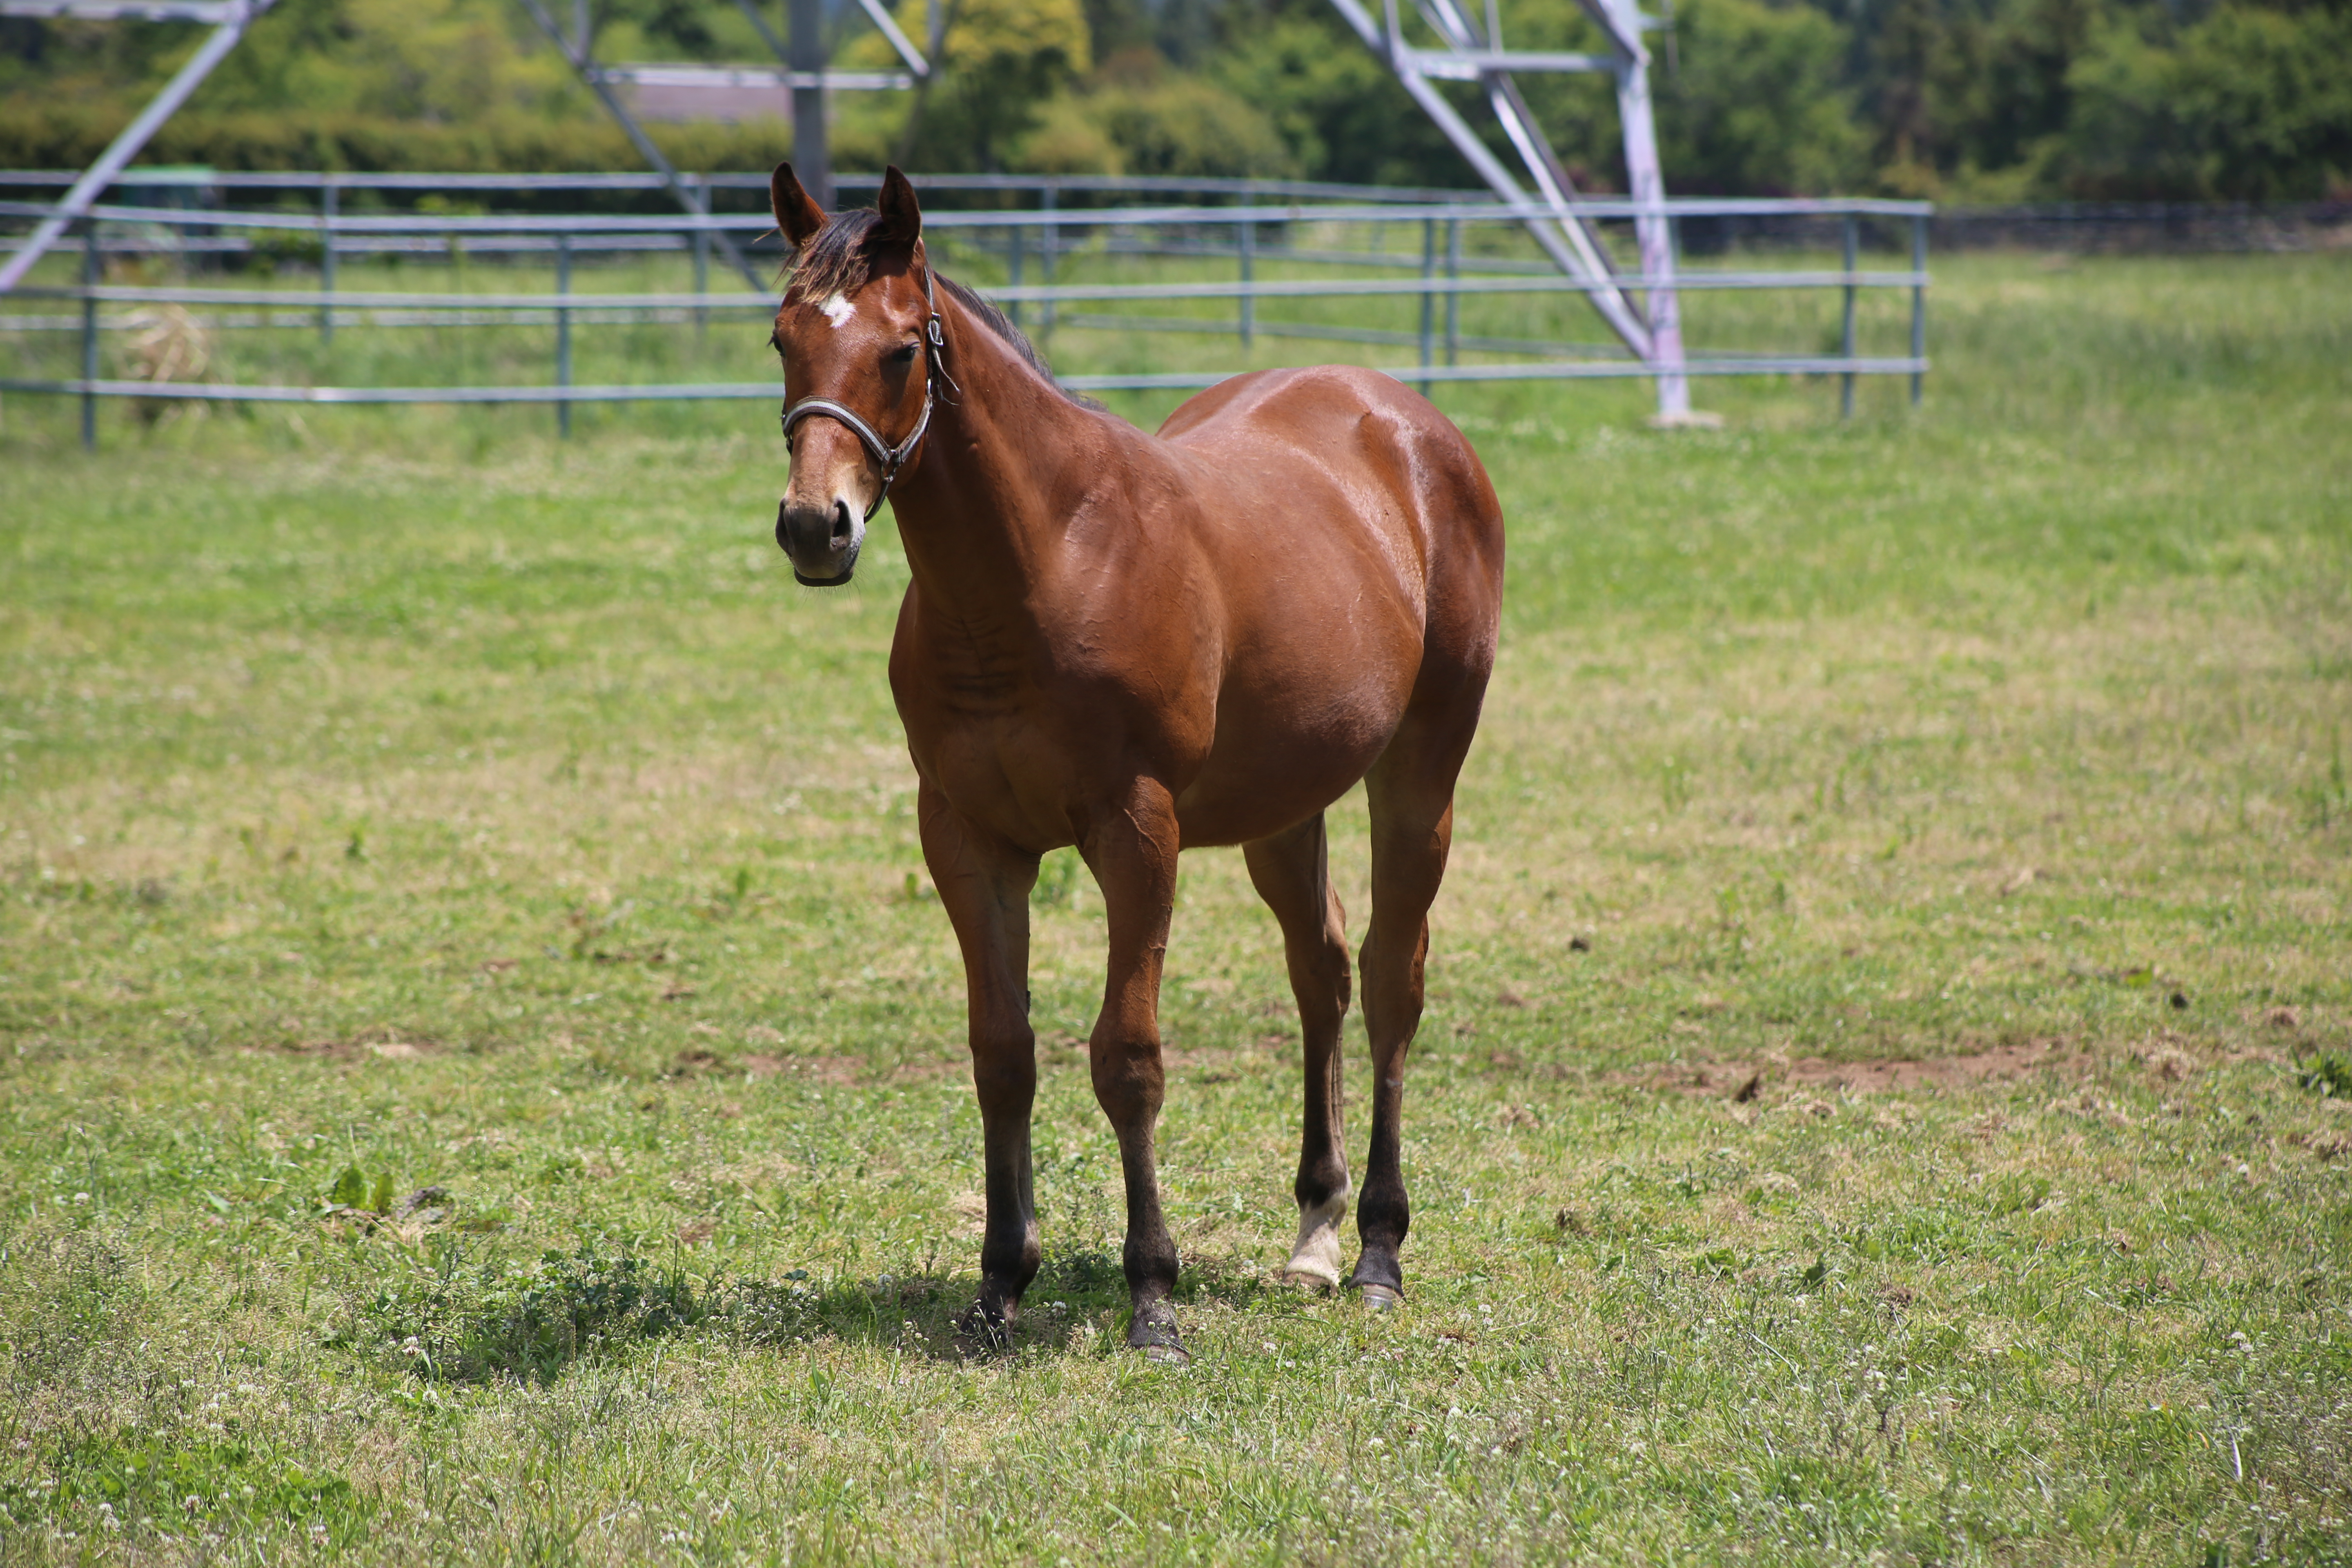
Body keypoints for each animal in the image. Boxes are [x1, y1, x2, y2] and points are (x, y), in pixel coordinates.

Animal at [771, 162, 1505, 1363]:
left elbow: (1127, 1056)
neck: (1048, 561)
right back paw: (1313, 1235)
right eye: (783, 338)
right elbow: (1002, 1052)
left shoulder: (1135, 830)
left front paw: (1152, 1297)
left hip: (1419, 772)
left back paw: (1377, 1254)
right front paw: (998, 1284)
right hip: (1282, 805)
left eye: (897, 350)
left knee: (1392, 978)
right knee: (1321, 970)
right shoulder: (967, 837)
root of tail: (1411, 424)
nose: (812, 528)